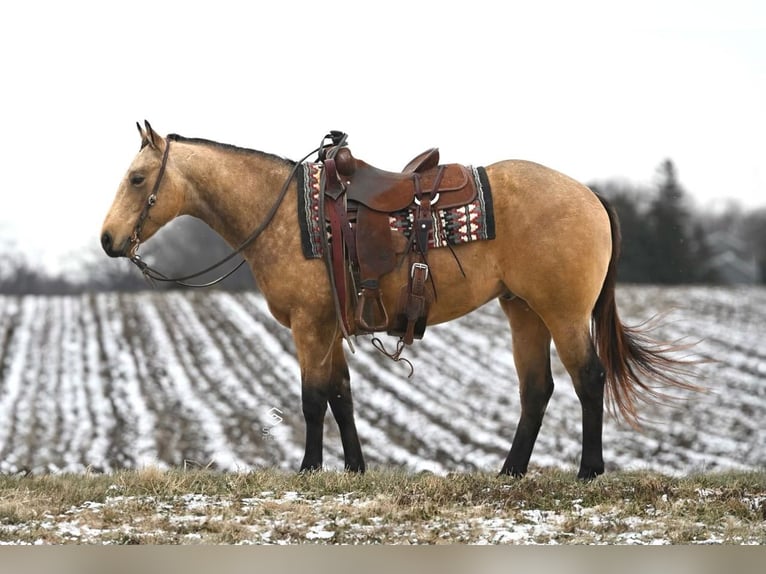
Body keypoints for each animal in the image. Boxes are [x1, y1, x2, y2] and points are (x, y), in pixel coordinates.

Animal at [99, 122, 700, 482]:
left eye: (137, 178)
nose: (107, 240)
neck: (291, 217)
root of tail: (589, 193)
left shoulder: (309, 326)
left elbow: (313, 399)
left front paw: (310, 469)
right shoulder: (330, 327)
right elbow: (341, 396)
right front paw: (355, 468)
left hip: (564, 313)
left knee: (588, 380)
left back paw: (588, 471)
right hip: (523, 310)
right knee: (538, 391)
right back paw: (510, 472)